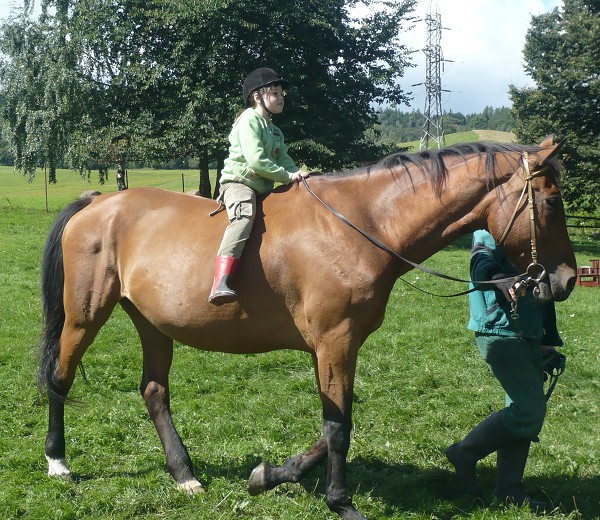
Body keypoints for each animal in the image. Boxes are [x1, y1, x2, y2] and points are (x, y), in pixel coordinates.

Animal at [38, 136, 576, 516]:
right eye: (552, 203)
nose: (567, 279)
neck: (360, 225)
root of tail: (98, 202)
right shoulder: (334, 341)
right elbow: (338, 428)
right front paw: (340, 501)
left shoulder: (338, 346)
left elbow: (332, 424)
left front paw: (270, 475)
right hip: (85, 316)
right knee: (59, 379)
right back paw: (58, 463)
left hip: (152, 323)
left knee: (153, 392)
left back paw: (183, 472)